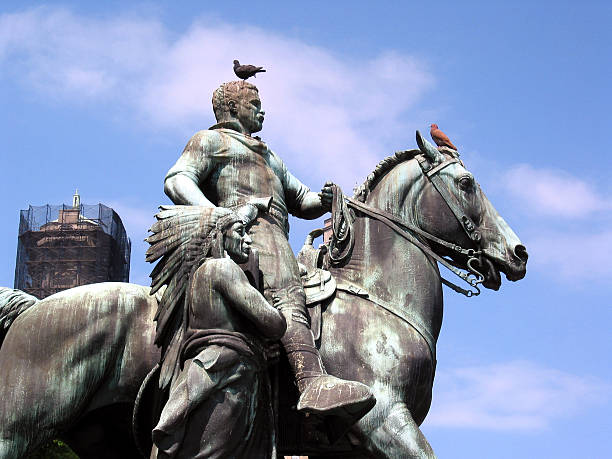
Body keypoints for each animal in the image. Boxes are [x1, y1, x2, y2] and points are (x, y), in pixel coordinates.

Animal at [0, 131, 524, 458]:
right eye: (467, 183)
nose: (517, 253)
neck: (374, 292)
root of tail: (35, 308)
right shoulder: (384, 418)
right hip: (21, 421)